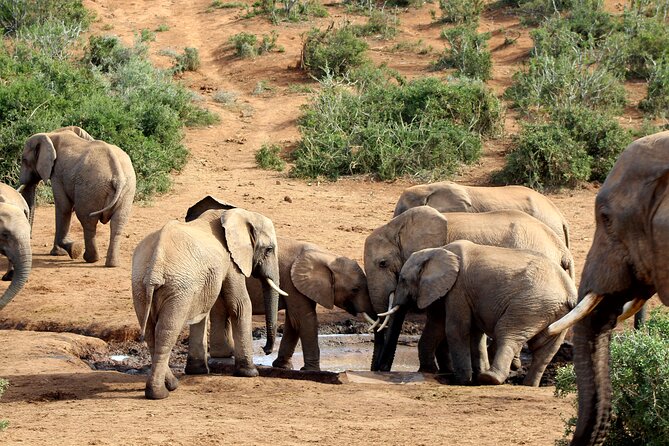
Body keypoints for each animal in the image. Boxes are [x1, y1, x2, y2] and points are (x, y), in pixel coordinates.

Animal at [19, 126, 136, 267]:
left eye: (24, 160)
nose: (30, 238)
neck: (52, 134)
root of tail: (117, 175)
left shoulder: (57, 173)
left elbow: (63, 207)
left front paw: (67, 251)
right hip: (127, 189)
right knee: (118, 222)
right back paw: (112, 264)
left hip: (91, 187)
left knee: (87, 219)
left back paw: (90, 258)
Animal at [131, 207, 286, 399]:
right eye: (269, 249)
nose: (266, 350)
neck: (235, 214)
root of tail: (155, 264)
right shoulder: (231, 260)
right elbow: (240, 305)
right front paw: (250, 373)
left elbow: (202, 313)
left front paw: (197, 371)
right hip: (177, 287)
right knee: (166, 331)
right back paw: (160, 393)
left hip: (140, 285)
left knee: (150, 332)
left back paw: (170, 385)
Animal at [376, 241, 576, 386]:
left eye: (402, 279)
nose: (381, 369)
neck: (437, 251)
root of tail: (569, 290)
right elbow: (446, 327)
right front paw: (428, 371)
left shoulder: (458, 288)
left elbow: (456, 329)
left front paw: (462, 381)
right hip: (556, 311)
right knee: (545, 349)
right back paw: (528, 385)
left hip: (531, 304)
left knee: (508, 333)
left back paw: (490, 379)